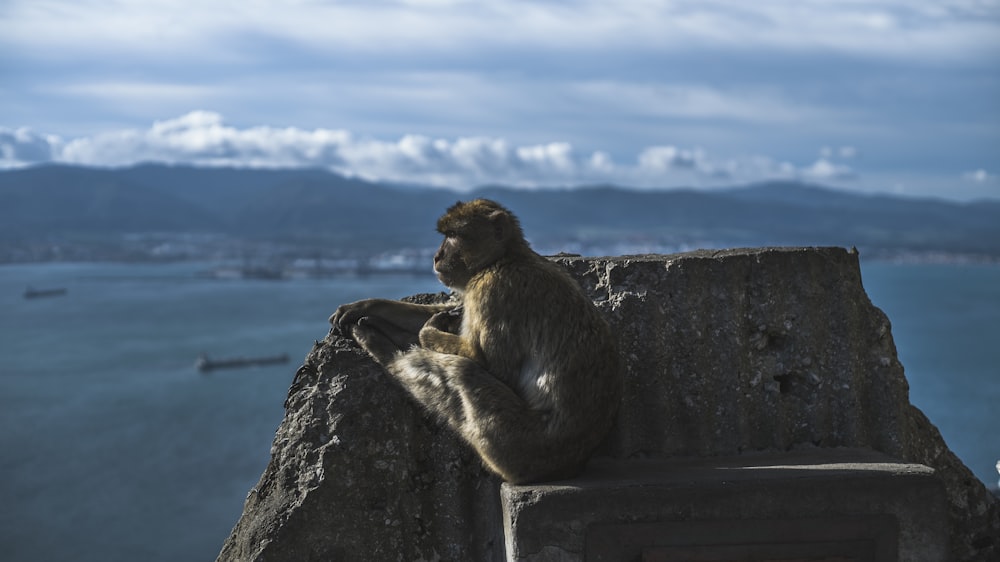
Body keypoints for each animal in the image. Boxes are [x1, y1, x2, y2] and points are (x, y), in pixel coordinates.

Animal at [332, 198, 620, 482]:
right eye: (446, 235)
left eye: (453, 236)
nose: (436, 256)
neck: (503, 258)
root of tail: (572, 465)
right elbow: (452, 312)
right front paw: (367, 306)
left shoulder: (493, 290)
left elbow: (492, 366)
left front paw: (427, 331)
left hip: (515, 446)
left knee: (462, 372)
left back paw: (385, 351)